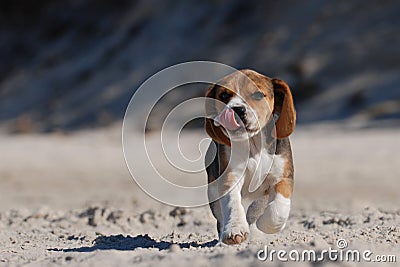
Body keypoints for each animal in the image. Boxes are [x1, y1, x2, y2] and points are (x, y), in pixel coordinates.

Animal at [205, 69, 296, 245]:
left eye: (258, 95)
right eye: (224, 95)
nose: (237, 109)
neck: (254, 144)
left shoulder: (283, 176)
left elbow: (278, 209)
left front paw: (264, 225)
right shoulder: (230, 177)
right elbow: (232, 203)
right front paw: (235, 229)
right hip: (212, 191)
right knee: (221, 217)